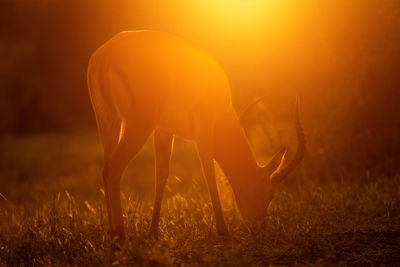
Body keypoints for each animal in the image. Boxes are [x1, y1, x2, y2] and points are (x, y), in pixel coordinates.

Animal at [88, 30, 306, 246]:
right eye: (269, 195)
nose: (259, 230)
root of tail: (106, 55)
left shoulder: (164, 131)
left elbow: (162, 175)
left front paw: (153, 234)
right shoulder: (205, 127)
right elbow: (208, 173)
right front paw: (224, 233)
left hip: (110, 123)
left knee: (105, 169)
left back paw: (112, 236)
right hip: (138, 126)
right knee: (113, 169)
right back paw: (119, 238)